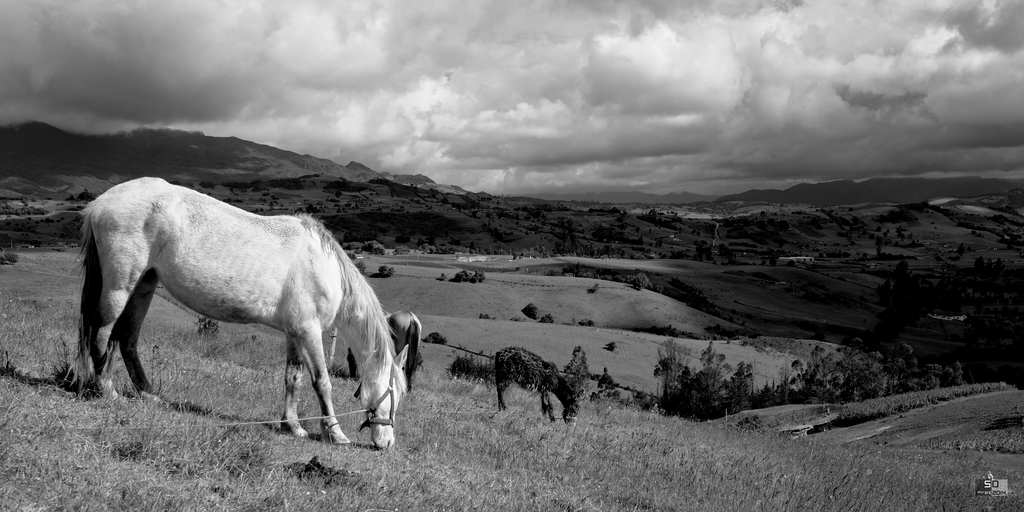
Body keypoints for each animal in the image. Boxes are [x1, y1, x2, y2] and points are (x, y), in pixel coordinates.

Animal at [74, 178, 407, 450]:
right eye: (395, 395)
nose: (387, 443)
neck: (324, 265)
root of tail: (99, 204)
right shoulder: (309, 331)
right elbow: (322, 382)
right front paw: (335, 433)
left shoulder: (295, 332)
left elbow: (293, 379)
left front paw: (293, 426)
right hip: (120, 284)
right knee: (102, 332)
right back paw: (106, 389)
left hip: (144, 284)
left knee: (128, 338)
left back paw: (148, 394)